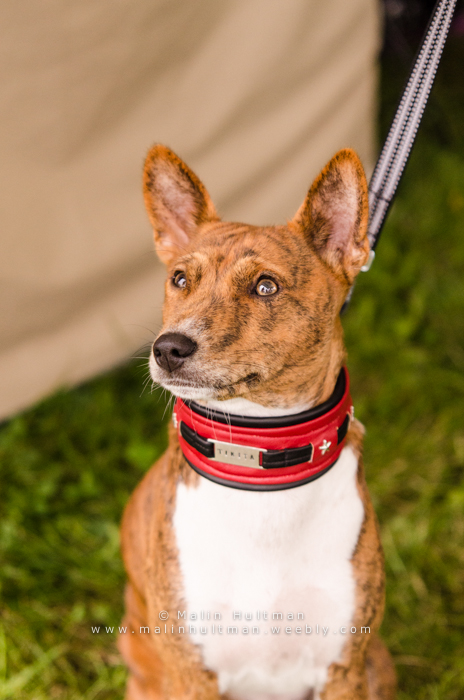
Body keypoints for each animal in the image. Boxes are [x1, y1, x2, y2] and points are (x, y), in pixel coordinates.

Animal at [118, 144, 396, 700]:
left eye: (266, 286)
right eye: (180, 279)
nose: (168, 348)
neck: (259, 472)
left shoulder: (345, 668)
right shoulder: (192, 675)